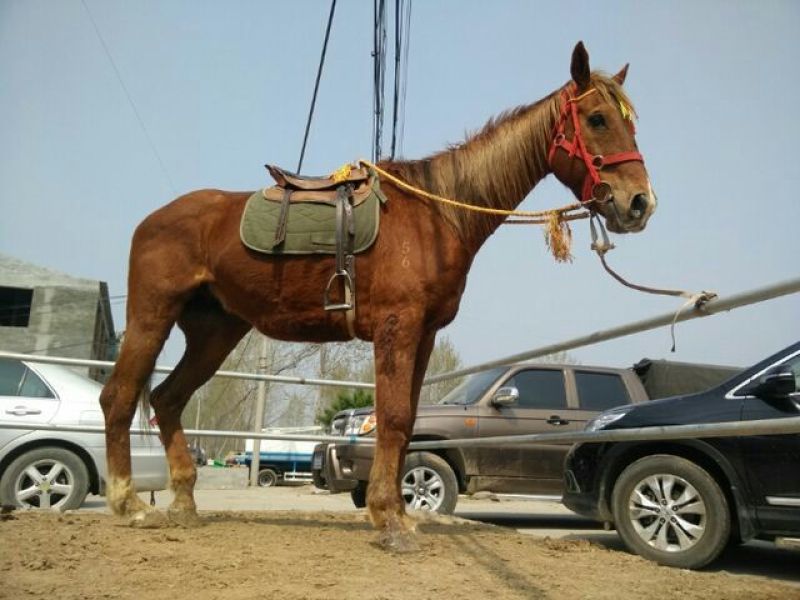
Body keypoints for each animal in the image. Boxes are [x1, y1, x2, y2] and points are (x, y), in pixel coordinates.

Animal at [100, 41, 655, 551]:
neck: (438, 216)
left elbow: (406, 422)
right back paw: (129, 504)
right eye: (598, 118)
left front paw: (400, 515)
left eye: (631, 124)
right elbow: (390, 419)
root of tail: (153, 220)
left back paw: (184, 503)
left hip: (214, 331)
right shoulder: (397, 327)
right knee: (120, 396)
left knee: (167, 399)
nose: (639, 203)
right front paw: (388, 520)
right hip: (153, 314)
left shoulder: (423, 335)